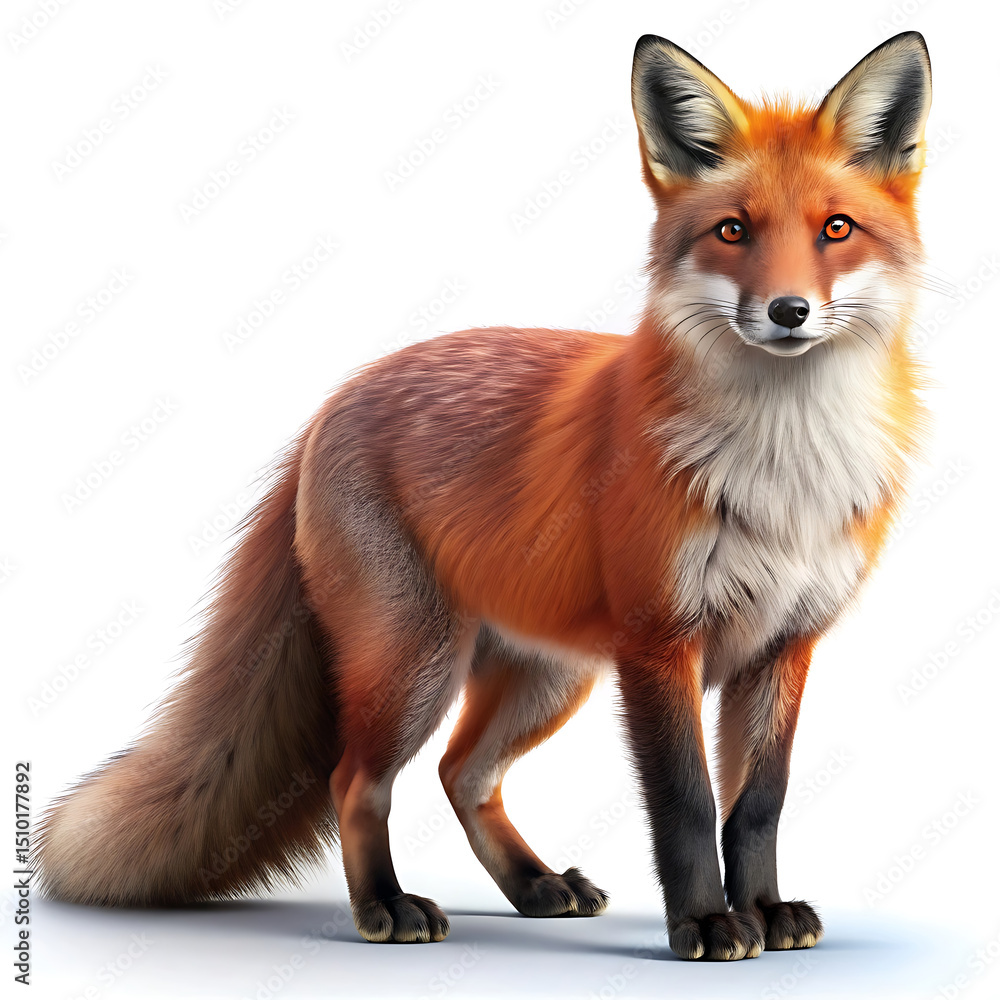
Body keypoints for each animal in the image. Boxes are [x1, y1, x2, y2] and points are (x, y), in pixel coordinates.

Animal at [36, 31, 932, 961]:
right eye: (733, 231)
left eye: (836, 229)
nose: (789, 311)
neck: (782, 474)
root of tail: (339, 395)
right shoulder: (659, 643)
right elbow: (685, 803)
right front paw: (705, 923)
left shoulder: (784, 646)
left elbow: (759, 803)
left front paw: (764, 909)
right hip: (415, 662)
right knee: (358, 780)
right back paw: (386, 906)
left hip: (548, 674)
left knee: (461, 773)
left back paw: (534, 885)